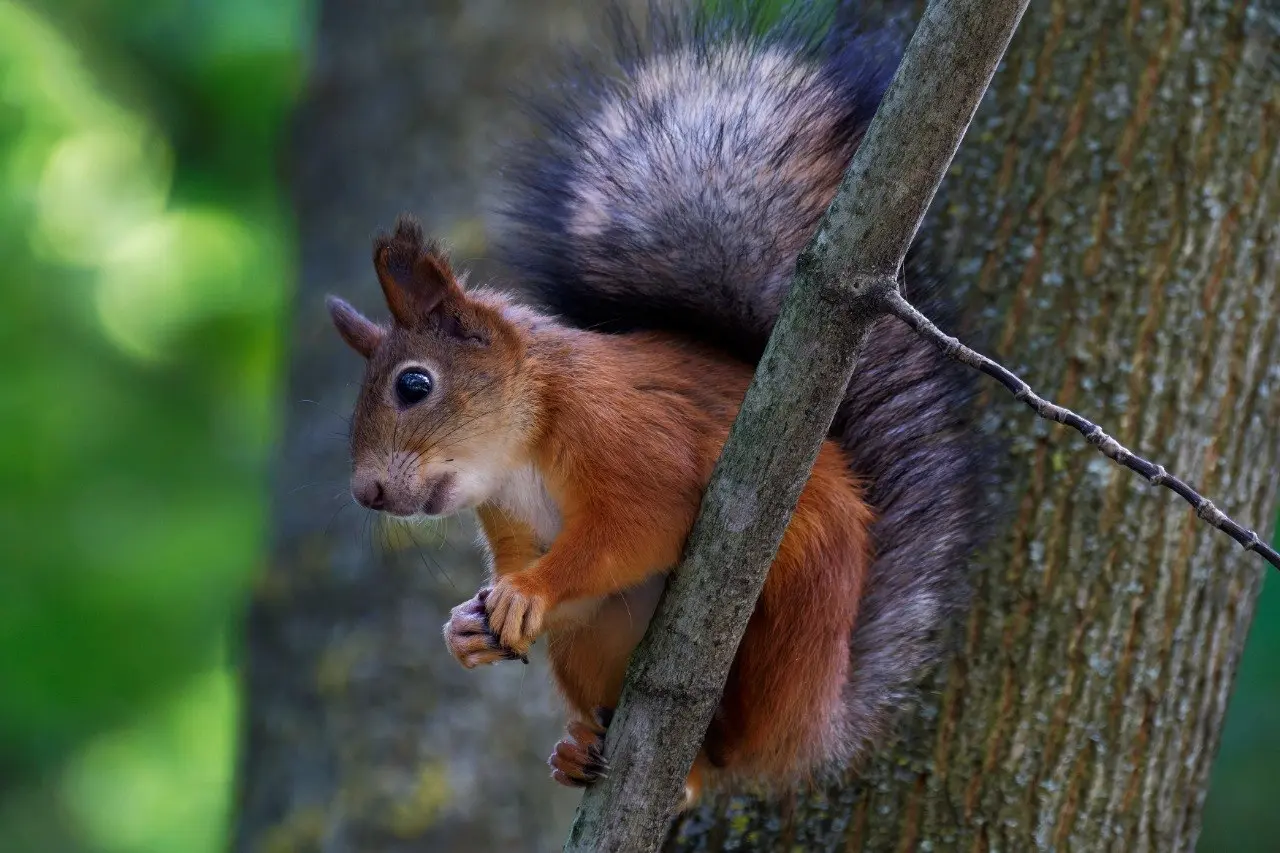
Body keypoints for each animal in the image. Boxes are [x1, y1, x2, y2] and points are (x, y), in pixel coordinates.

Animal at [325, 2, 991, 807]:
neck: (521, 451)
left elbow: (635, 531)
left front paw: (527, 590)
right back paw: (579, 752)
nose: (367, 492)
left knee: (727, 745)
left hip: (789, 615)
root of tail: (817, 719)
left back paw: (697, 760)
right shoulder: (511, 515)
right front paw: (469, 622)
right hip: (594, 644)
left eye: (414, 385)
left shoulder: (627, 438)